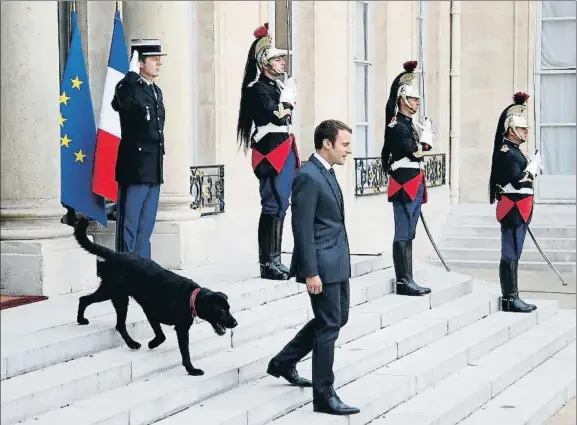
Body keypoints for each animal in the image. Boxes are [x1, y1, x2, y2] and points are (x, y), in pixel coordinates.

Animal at [73, 217, 237, 376]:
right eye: (222, 311)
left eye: (229, 309)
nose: (235, 323)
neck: (190, 297)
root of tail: (115, 254)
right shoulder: (156, 315)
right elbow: (173, 344)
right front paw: (190, 369)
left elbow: (167, 339)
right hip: (114, 294)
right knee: (93, 306)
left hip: (115, 294)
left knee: (102, 312)